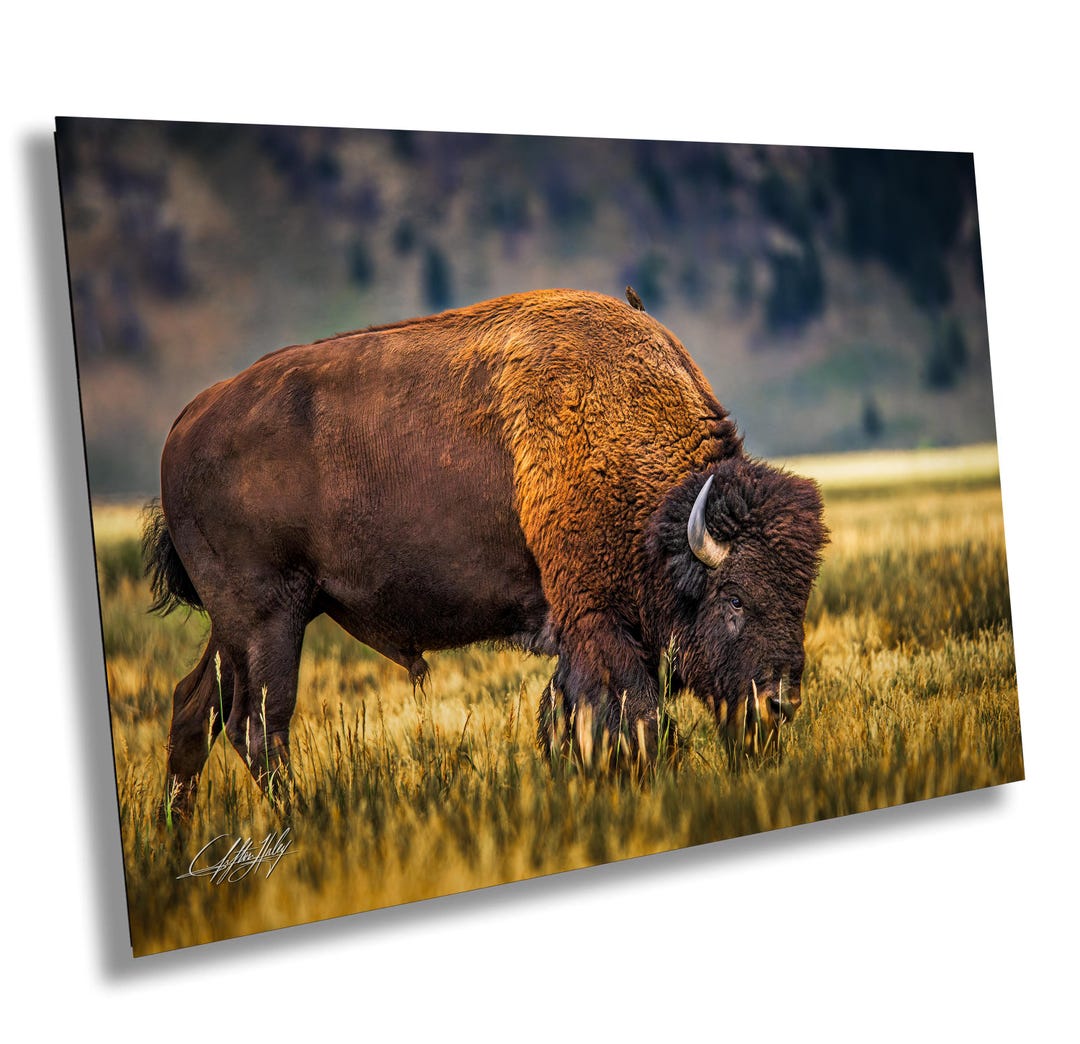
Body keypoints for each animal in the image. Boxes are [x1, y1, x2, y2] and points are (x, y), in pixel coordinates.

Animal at [145, 288, 826, 818]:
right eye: (733, 598)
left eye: (799, 596)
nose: (780, 703)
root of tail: (185, 421)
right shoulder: (600, 624)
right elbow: (630, 720)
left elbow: (565, 720)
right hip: (267, 619)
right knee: (259, 725)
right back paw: (302, 822)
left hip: (239, 625)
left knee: (193, 710)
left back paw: (179, 835)